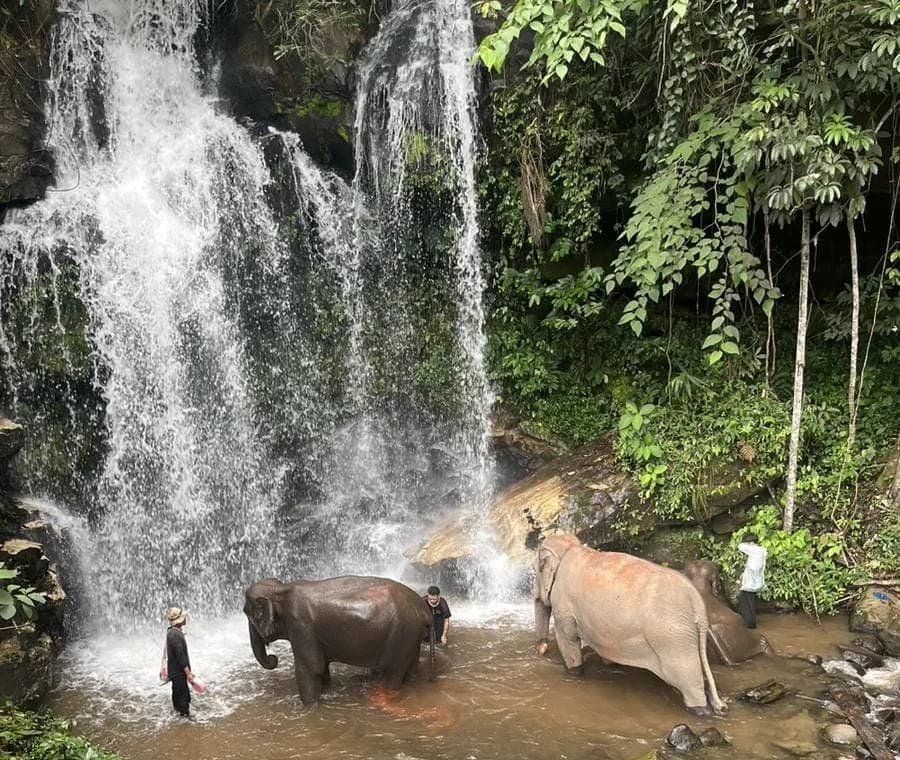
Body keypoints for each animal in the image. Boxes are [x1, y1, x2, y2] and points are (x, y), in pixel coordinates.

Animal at [244, 575, 435, 704]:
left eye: (247, 613)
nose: (273, 659)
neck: (280, 589)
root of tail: (425, 610)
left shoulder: (301, 626)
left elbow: (311, 668)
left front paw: (310, 707)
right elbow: (321, 666)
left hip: (403, 634)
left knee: (394, 673)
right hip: (411, 636)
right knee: (410, 668)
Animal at [534, 534, 726, 716]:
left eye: (537, 570)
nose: (542, 649)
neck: (570, 547)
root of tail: (697, 602)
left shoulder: (563, 602)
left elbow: (568, 639)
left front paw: (575, 674)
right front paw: (610, 666)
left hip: (673, 639)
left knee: (686, 676)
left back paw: (701, 711)